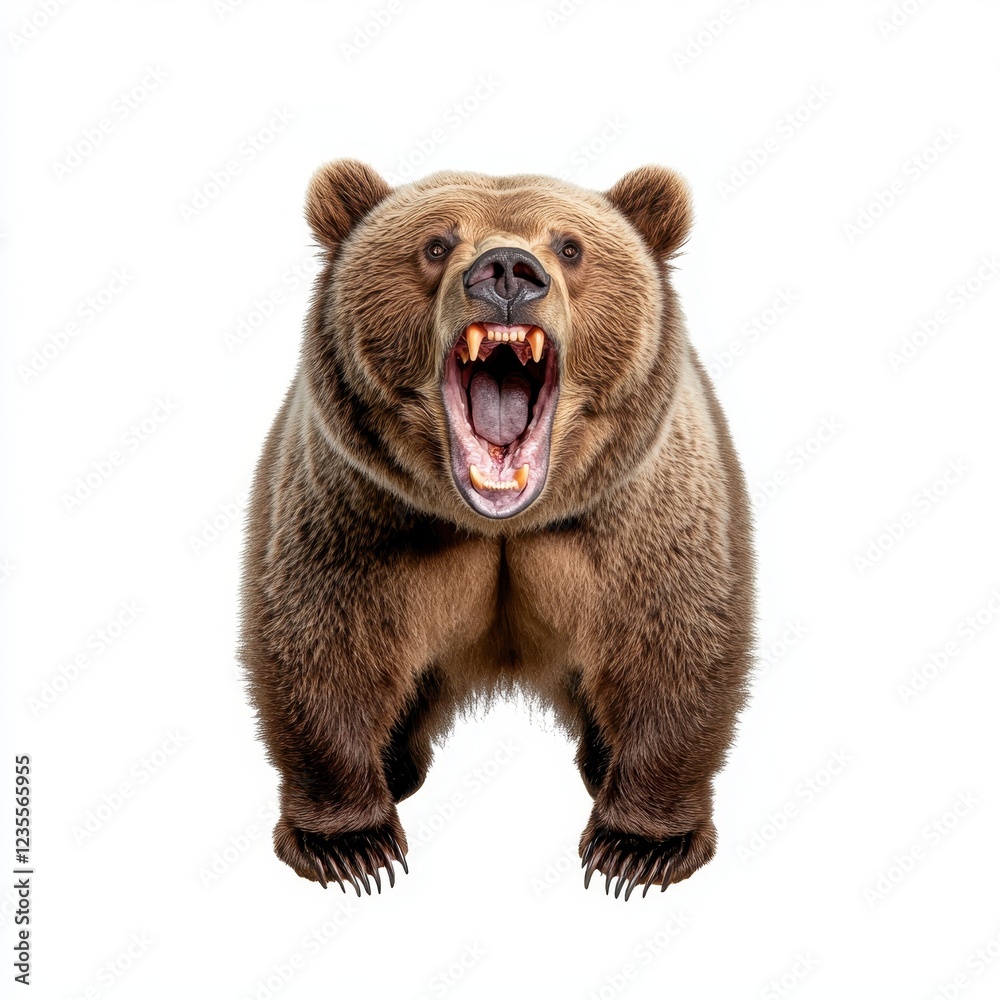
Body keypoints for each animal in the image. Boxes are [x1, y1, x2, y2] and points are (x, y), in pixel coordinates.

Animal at [239, 159, 755, 900]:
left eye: (569, 246)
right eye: (434, 243)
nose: (507, 270)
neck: (500, 525)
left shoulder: (638, 515)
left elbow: (671, 643)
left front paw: (637, 849)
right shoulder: (359, 513)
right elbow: (324, 643)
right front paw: (351, 847)